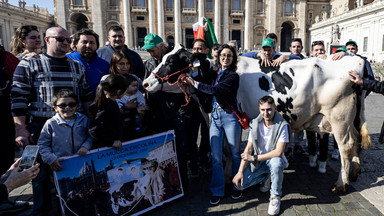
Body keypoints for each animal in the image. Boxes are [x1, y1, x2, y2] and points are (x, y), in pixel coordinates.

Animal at [142, 44, 370, 194]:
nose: (145, 83)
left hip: (339, 118)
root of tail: (356, 61)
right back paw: (355, 172)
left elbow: (230, 149)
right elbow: (225, 148)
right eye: (163, 57)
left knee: (346, 146)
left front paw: (230, 178)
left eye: (171, 61)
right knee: (357, 139)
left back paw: (341, 184)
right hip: (351, 119)